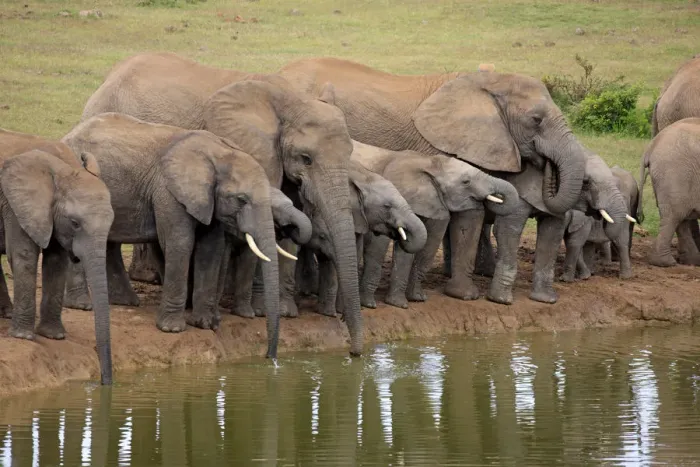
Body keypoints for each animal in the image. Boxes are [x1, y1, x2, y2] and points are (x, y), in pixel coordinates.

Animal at [0, 129, 114, 385]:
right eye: (75, 223)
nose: (104, 382)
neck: (64, 168)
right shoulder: (16, 204)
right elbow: (24, 255)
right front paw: (23, 337)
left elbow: (56, 261)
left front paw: (53, 336)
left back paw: (6, 314)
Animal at [61, 112, 283, 359]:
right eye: (242, 199)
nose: (270, 357)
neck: (218, 153)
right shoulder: (169, 192)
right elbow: (180, 243)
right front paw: (172, 329)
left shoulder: (208, 200)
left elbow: (211, 249)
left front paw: (205, 324)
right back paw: (82, 305)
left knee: (108, 243)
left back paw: (126, 302)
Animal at [294, 158, 428, 317]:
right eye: (387, 206)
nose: (402, 235)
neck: (362, 177)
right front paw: (333, 313)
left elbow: (354, 254)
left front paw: (341, 311)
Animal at [348, 141, 520, 308]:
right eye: (466, 182)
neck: (430, 163)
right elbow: (382, 244)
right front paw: (375, 304)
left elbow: (428, 244)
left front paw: (412, 300)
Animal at [638, 118, 700, 267]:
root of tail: (652, 145)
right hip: (675, 174)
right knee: (674, 217)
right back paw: (666, 263)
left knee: (681, 219)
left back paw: (692, 261)